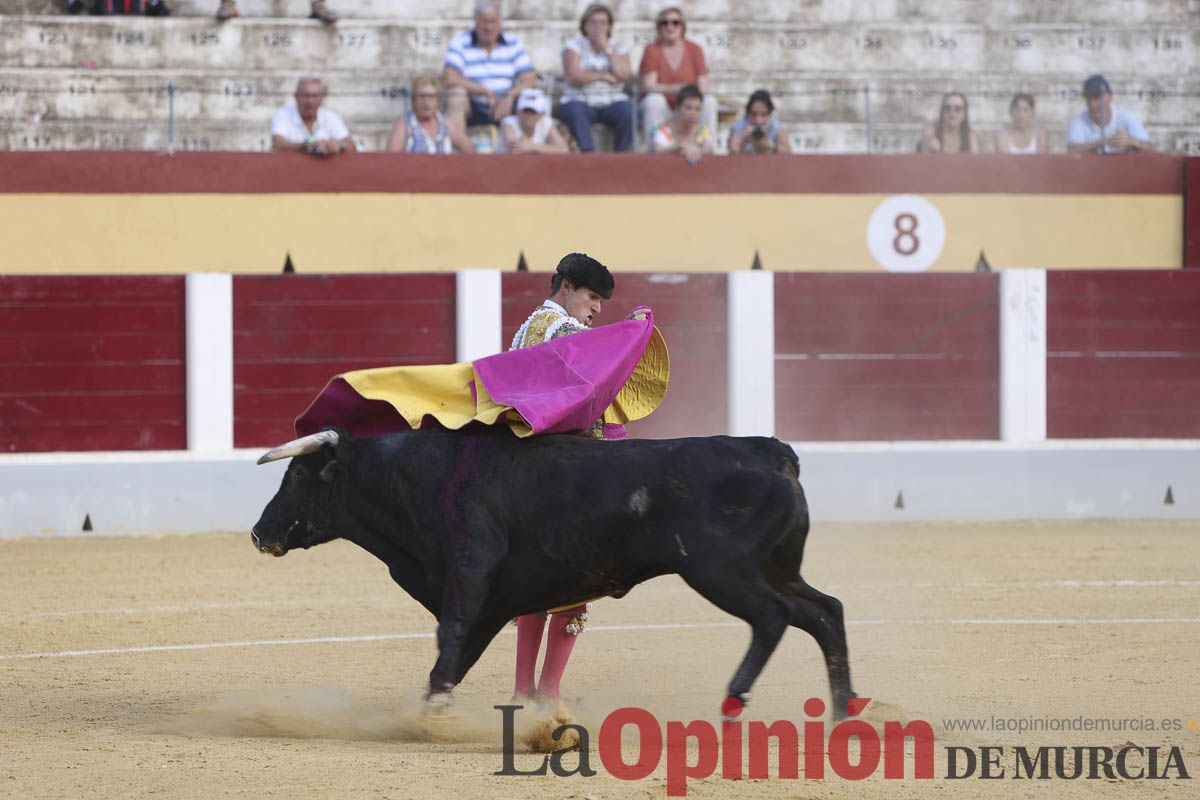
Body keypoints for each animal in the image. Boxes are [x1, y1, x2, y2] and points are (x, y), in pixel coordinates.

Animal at [250, 429, 854, 714]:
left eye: (299, 474)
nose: (259, 532)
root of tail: (772, 452)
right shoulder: (493, 601)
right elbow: (460, 654)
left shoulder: (469, 573)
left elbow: (450, 636)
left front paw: (433, 712)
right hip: (773, 568)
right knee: (824, 611)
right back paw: (843, 712)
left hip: (721, 572)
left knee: (774, 617)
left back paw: (735, 701)